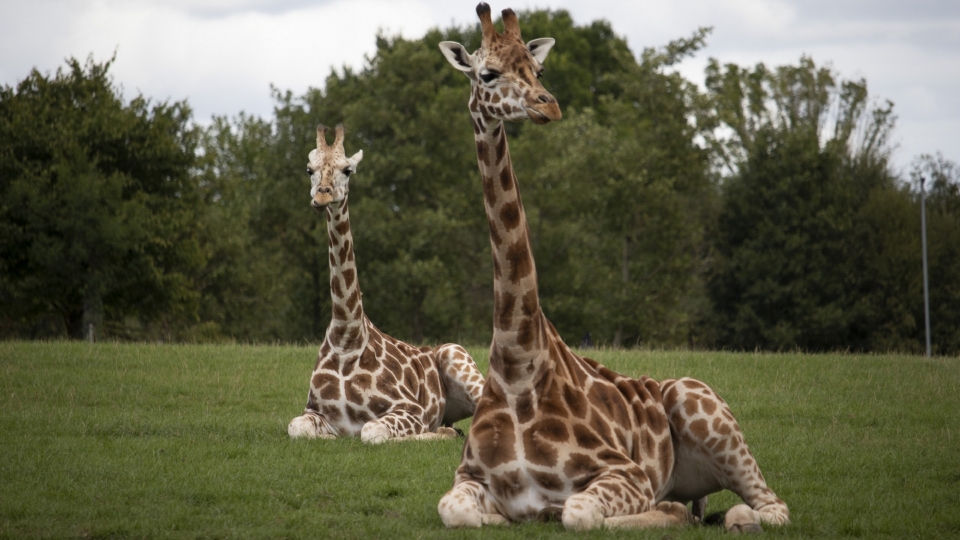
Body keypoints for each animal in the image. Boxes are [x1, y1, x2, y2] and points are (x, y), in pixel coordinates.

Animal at [284, 124, 480, 446]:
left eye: (348, 170)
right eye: (309, 169)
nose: (322, 197)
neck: (346, 338)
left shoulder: (410, 409)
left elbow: (371, 432)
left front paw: (434, 433)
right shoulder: (313, 411)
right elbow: (296, 427)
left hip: (457, 355)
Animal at [438, 4, 792, 532]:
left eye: (538, 69)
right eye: (488, 73)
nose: (549, 106)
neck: (518, 368)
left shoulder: (627, 473)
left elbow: (579, 513)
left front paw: (657, 512)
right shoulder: (469, 477)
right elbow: (455, 509)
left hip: (701, 403)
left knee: (773, 507)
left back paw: (728, 515)